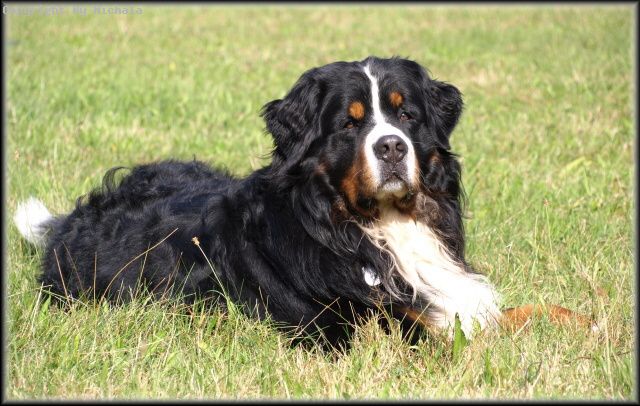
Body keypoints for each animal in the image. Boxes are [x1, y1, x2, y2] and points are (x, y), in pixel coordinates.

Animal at [14, 56, 592, 349]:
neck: (367, 227)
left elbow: (516, 310)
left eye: (406, 115)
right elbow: (443, 334)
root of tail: (72, 220)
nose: (391, 147)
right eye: (350, 123)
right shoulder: (351, 329)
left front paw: (585, 320)